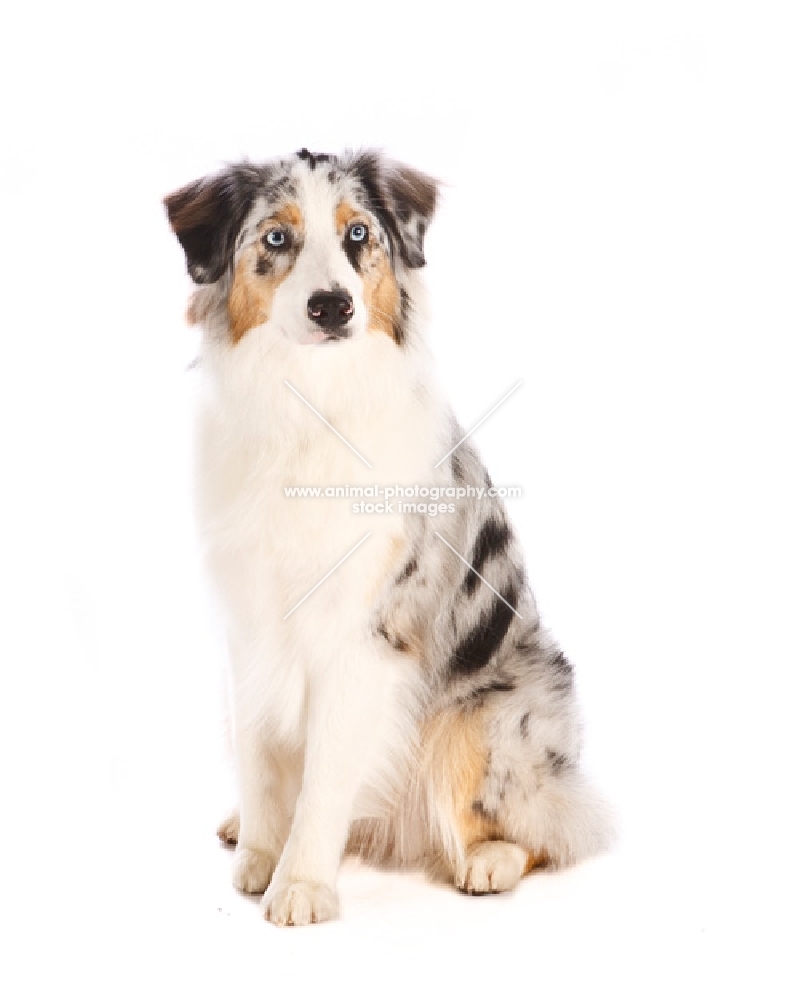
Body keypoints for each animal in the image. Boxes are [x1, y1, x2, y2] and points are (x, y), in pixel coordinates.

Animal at [164, 145, 612, 924]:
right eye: (276, 237)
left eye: (358, 235)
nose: (332, 305)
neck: (309, 404)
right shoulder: (249, 622)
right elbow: (259, 752)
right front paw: (260, 852)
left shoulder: (364, 637)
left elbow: (324, 780)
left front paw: (301, 884)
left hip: (486, 720)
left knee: (551, 825)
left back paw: (490, 859)